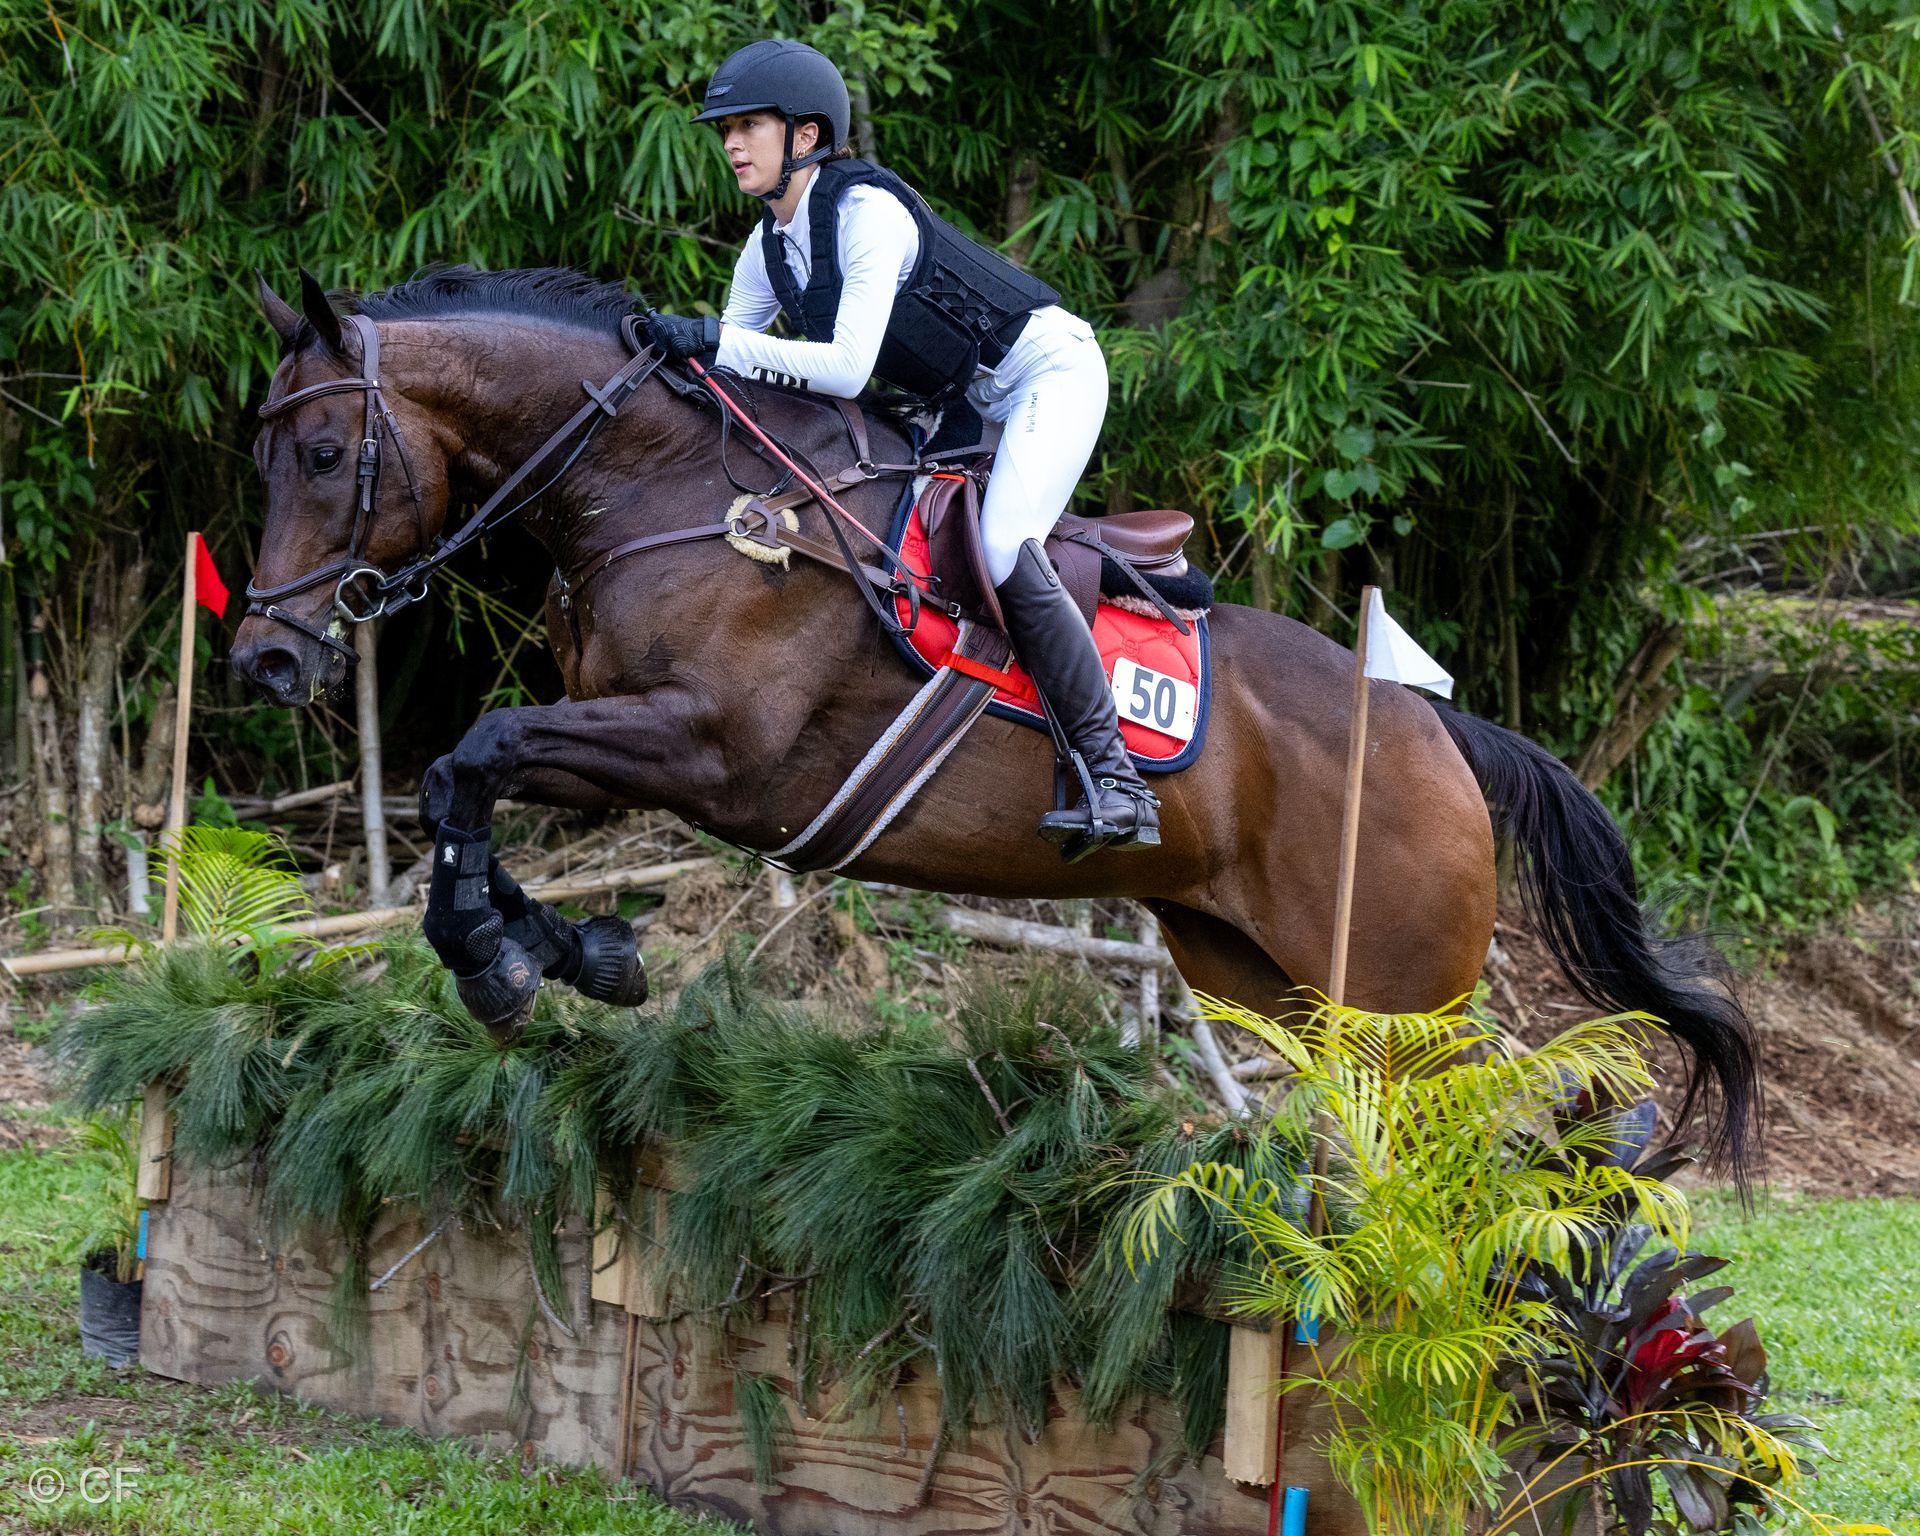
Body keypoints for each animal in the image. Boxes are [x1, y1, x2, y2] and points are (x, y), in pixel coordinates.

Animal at [230, 267, 1760, 1180]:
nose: (263, 659)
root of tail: (1443, 736)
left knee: (1496, 1101)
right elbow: (462, 779)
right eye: (264, 460)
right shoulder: (627, 750)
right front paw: (560, 952)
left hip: (1392, 985)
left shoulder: (709, 750)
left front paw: (507, 964)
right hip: (1263, 977)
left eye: (326, 454)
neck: (670, 486)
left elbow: (476, 755)